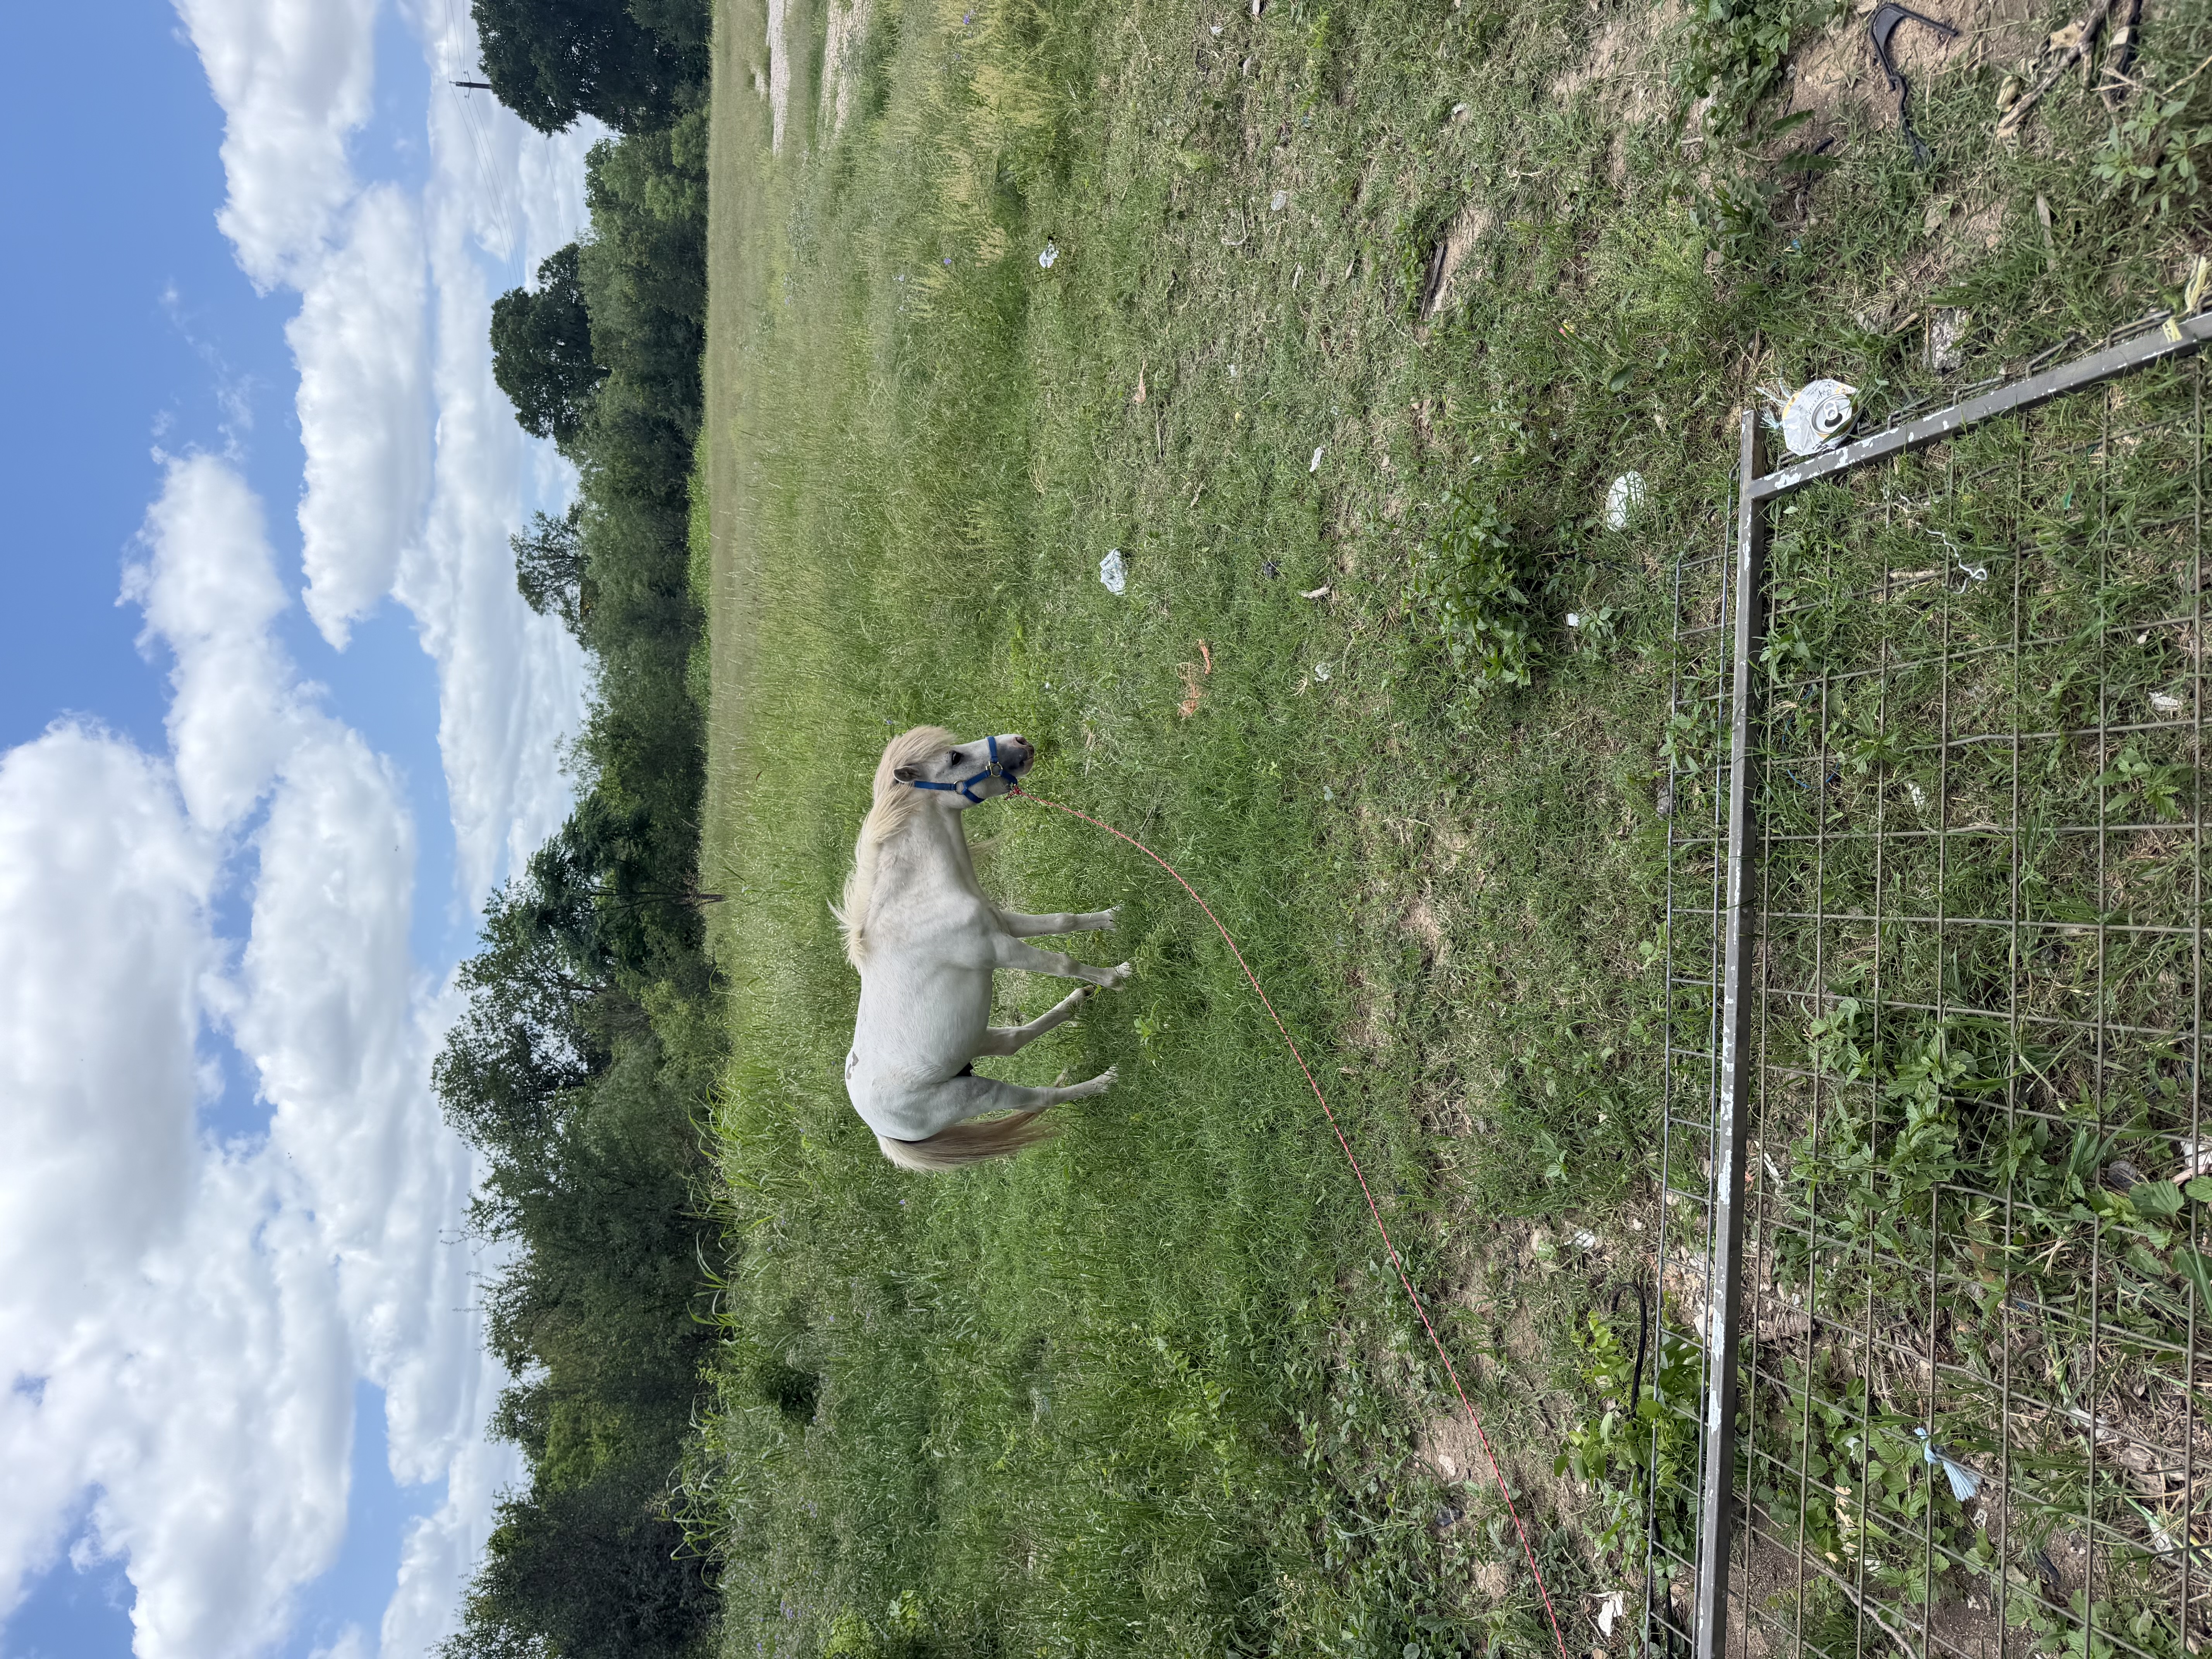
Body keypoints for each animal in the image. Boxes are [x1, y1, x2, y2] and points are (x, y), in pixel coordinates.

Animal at [837, 725, 1129, 1171]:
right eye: (954, 758)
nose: (1020, 743)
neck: (919, 902)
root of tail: (880, 1130)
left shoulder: (1004, 924)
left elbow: (1063, 922)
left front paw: (1113, 919)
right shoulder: (998, 950)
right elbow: (1063, 961)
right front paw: (1117, 978)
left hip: (973, 1041)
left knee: (1012, 1041)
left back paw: (1078, 1002)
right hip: (976, 1095)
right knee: (1040, 1098)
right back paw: (1102, 1082)